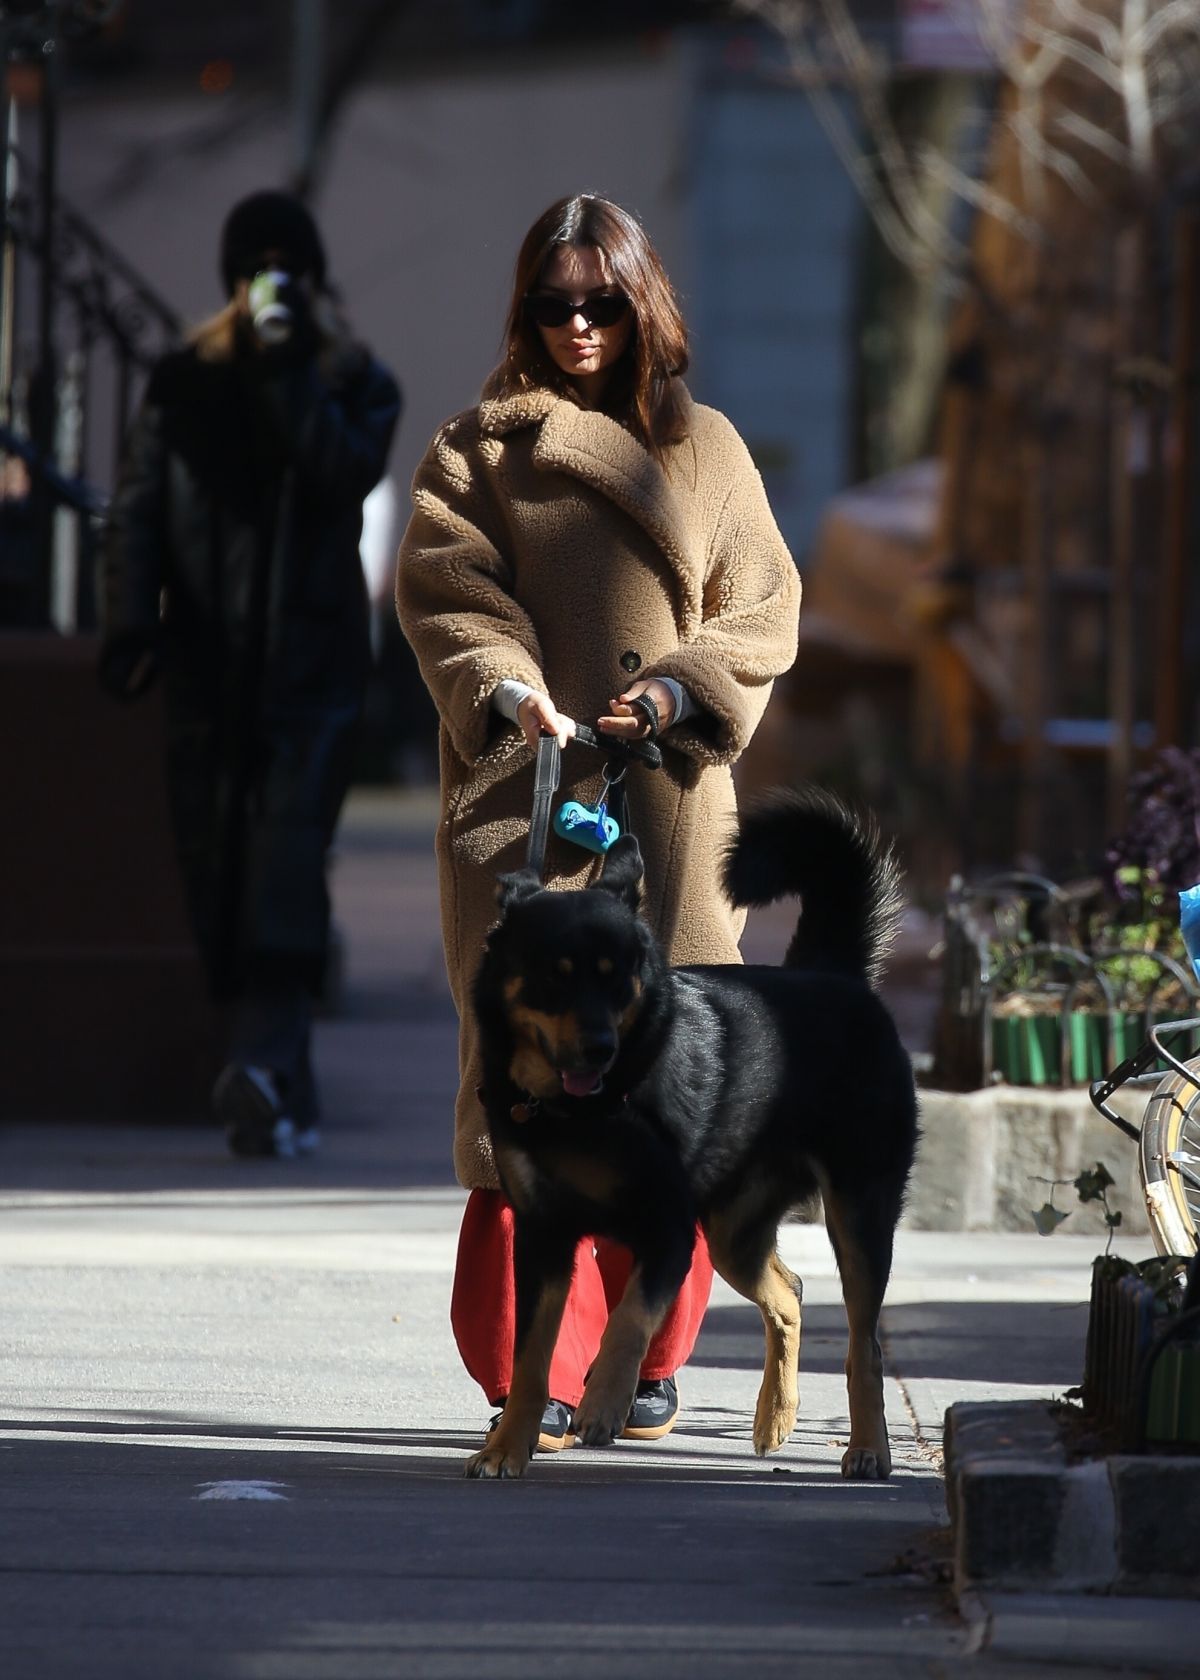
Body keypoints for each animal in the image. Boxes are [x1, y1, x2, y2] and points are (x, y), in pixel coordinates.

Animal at [463, 786, 914, 1485]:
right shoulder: (543, 1239)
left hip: (858, 1212)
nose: (601, 1046)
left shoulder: (668, 1231)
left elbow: (629, 1319)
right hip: (733, 1232)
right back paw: (776, 1415)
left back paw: (869, 1447)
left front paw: (604, 1401)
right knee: (788, 1295)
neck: (579, 1113)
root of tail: (832, 975)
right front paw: (509, 1447)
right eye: (554, 975)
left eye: (618, 975)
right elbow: (531, 1359)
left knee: (863, 1343)